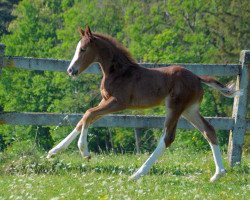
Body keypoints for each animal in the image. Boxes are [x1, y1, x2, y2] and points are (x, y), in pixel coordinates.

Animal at [47, 25, 240, 182]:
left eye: (83, 49)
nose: (71, 70)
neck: (119, 72)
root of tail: (197, 78)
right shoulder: (105, 100)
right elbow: (83, 120)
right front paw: (54, 152)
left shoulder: (118, 103)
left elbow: (88, 114)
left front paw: (84, 152)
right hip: (189, 110)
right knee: (209, 130)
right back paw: (218, 174)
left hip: (175, 107)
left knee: (168, 137)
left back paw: (137, 174)